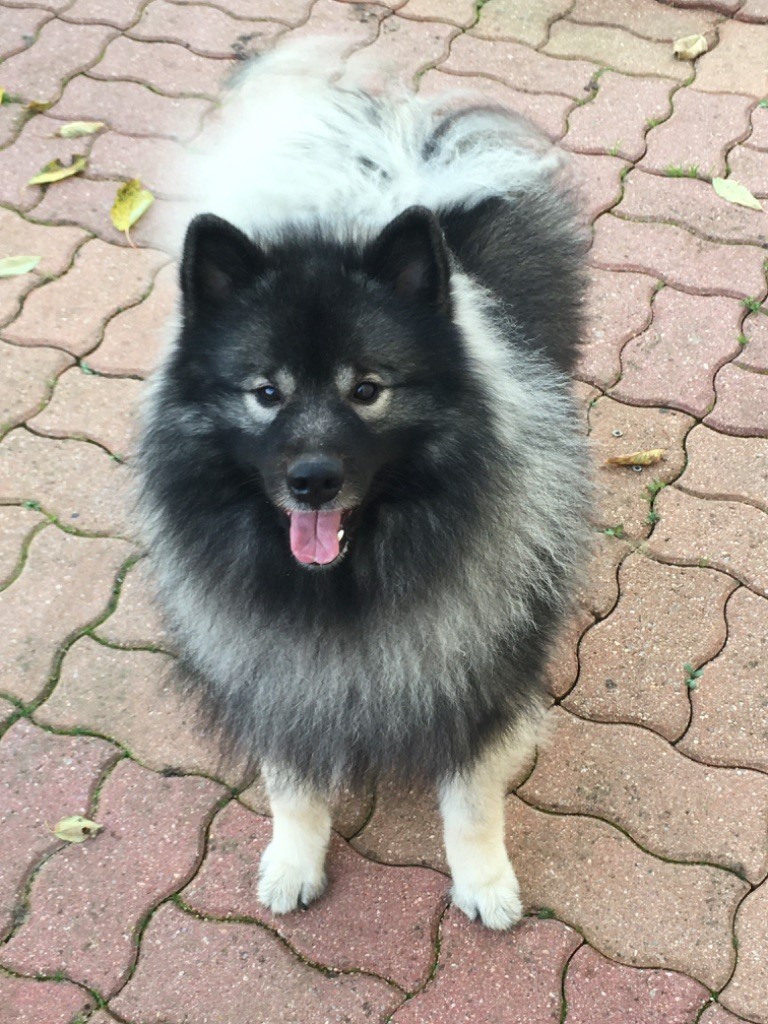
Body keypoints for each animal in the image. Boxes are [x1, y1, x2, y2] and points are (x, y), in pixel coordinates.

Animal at [137, 41, 591, 930]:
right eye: (265, 392)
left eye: (368, 389)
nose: (312, 480)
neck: (349, 584)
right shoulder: (278, 673)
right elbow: (293, 787)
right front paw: (293, 861)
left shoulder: (477, 677)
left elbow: (471, 802)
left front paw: (484, 883)